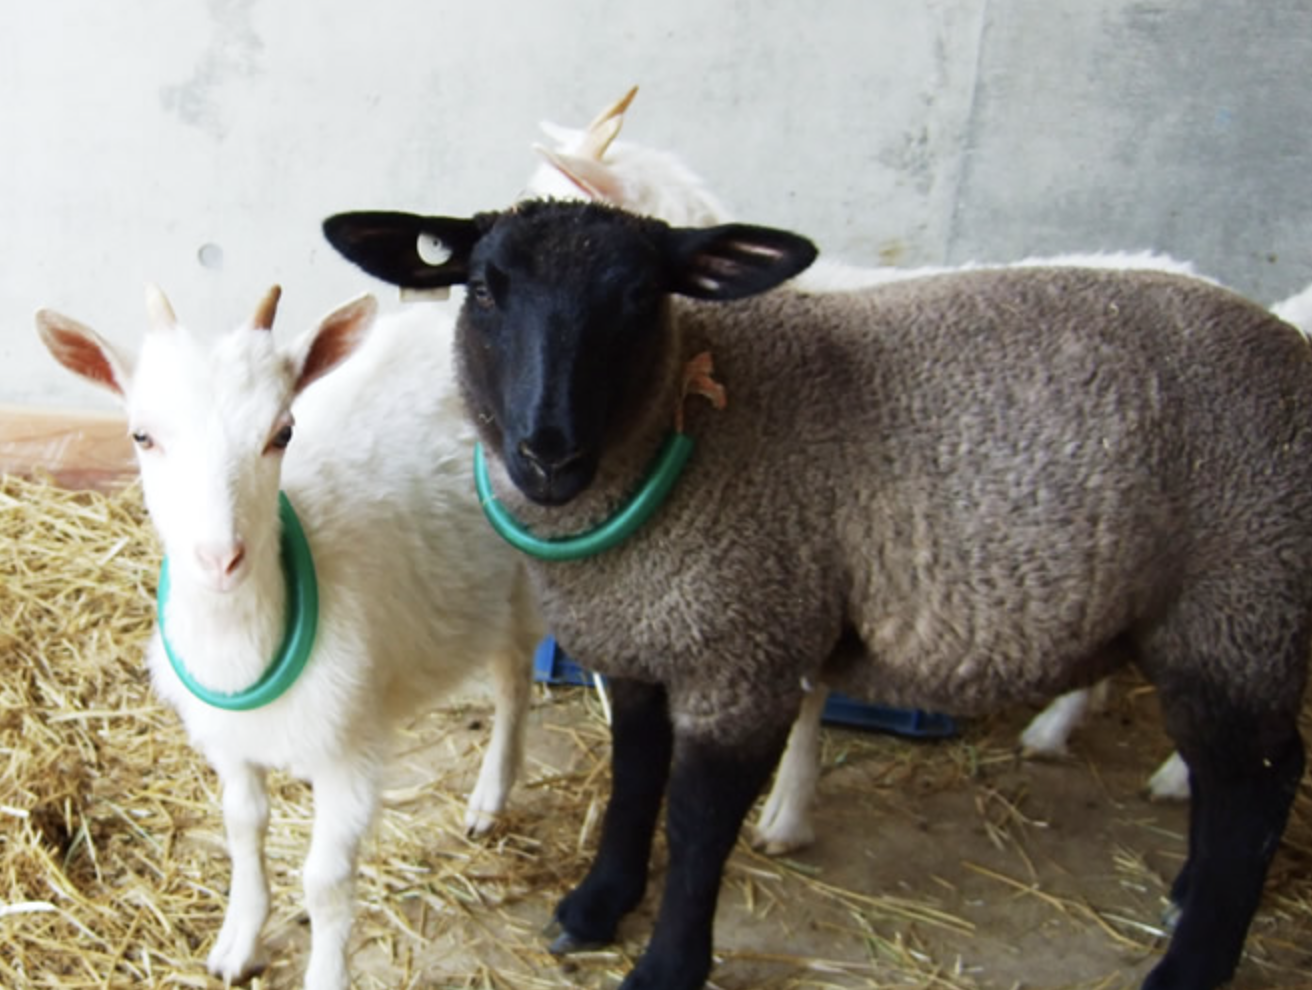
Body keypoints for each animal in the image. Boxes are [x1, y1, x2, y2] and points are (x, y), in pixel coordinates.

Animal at [33, 288, 540, 990]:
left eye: (283, 433)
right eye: (142, 435)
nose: (220, 559)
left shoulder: (348, 752)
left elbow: (325, 883)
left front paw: (325, 973)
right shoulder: (230, 744)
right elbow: (243, 830)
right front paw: (237, 941)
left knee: (515, 675)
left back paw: (490, 796)